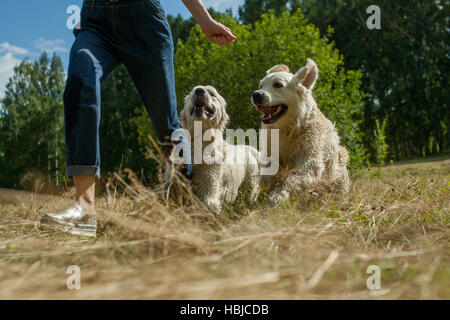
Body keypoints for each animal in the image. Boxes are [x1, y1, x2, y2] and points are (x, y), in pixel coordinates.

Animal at [181, 86, 262, 214]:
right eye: (192, 92)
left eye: (212, 93)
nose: (199, 90)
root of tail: (253, 150)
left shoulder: (209, 185)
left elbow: (207, 203)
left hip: (249, 187)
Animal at [251, 58, 350, 204]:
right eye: (261, 85)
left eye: (278, 84)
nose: (256, 94)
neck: (288, 129)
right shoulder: (271, 151)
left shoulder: (310, 157)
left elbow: (291, 177)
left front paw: (277, 196)